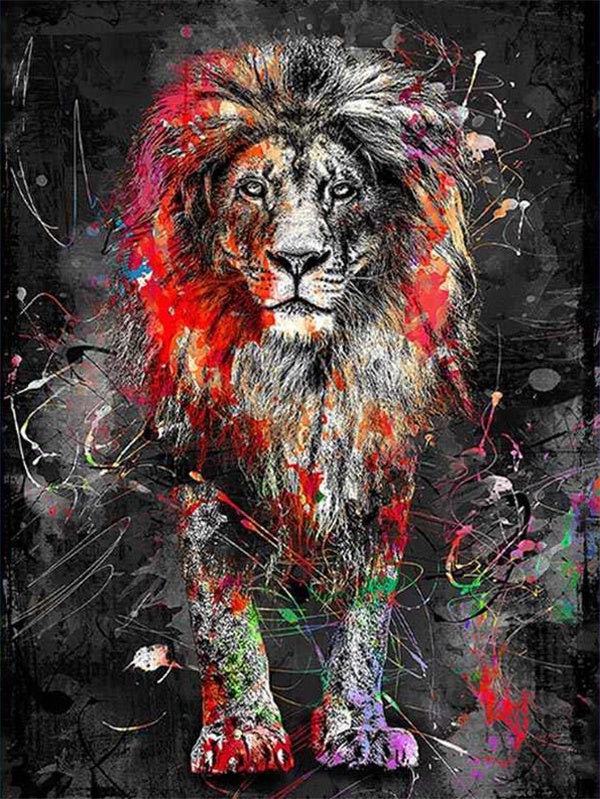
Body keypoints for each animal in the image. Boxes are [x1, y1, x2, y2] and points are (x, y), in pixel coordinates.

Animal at [109, 36, 477, 775]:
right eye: (254, 189)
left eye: (342, 190)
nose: (299, 258)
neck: (300, 374)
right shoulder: (210, 470)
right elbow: (223, 618)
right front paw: (243, 735)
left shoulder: (376, 476)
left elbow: (367, 621)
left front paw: (358, 730)